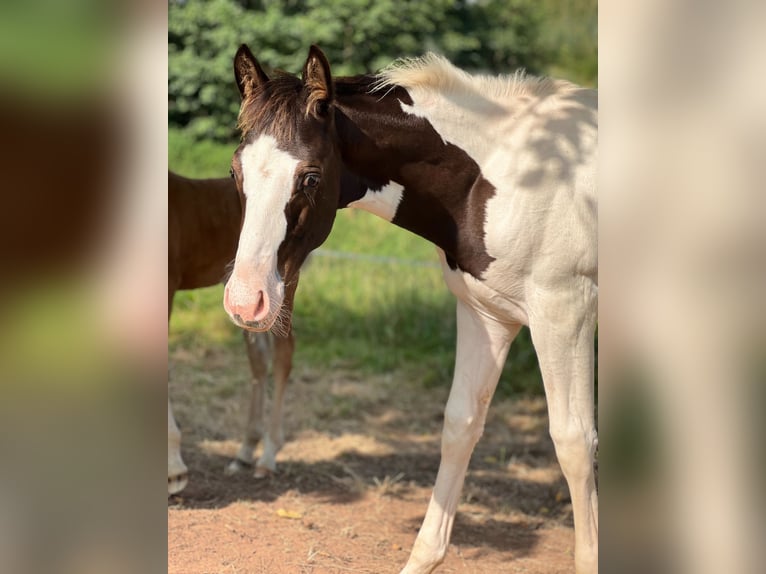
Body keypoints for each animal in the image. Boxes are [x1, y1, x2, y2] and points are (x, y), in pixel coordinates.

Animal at [225, 46, 596, 574]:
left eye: (311, 176)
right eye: (235, 173)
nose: (245, 301)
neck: (509, 175)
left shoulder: (564, 315)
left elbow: (573, 442)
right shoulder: (487, 315)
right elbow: (460, 426)